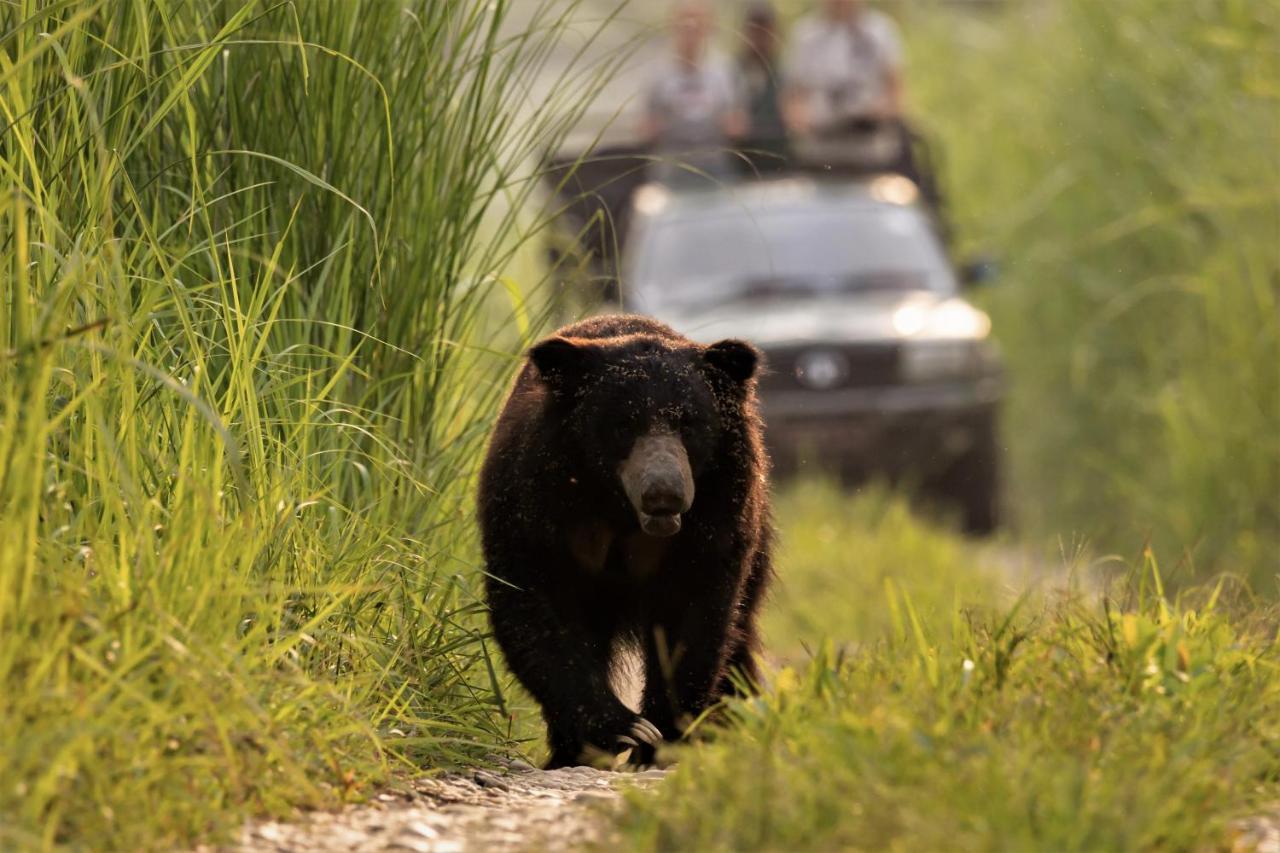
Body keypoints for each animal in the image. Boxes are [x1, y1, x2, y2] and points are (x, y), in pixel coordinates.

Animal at [478, 315, 768, 768]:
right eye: (623, 424)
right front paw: (623, 728)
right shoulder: (535, 505)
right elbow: (535, 607)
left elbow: (694, 616)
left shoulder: (716, 518)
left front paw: (659, 737)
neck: (621, 515)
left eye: (690, 423)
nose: (664, 493)